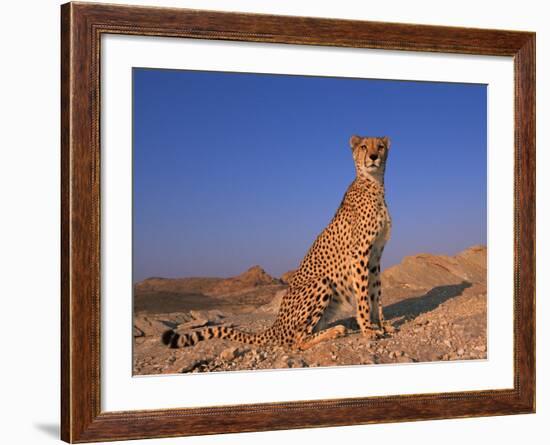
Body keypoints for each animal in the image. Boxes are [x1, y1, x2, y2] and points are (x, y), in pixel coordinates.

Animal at [163, 134, 392, 348]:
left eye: (380, 146)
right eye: (364, 147)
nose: (374, 156)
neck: (374, 185)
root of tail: (275, 325)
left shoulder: (374, 256)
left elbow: (376, 293)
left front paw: (382, 324)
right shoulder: (359, 254)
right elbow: (363, 296)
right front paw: (368, 329)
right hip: (321, 283)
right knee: (296, 341)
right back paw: (335, 330)